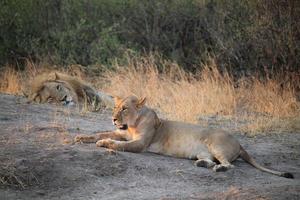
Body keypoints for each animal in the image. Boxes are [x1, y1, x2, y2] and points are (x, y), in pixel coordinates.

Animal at [74, 95, 294, 178]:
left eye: (125, 109)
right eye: (115, 107)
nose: (112, 118)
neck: (132, 125)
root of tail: (239, 143)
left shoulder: (140, 144)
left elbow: (119, 145)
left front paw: (104, 143)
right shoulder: (121, 132)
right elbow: (100, 133)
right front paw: (82, 138)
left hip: (216, 144)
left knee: (230, 165)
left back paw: (219, 168)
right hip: (202, 152)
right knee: (208, 160)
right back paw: (203, 164)